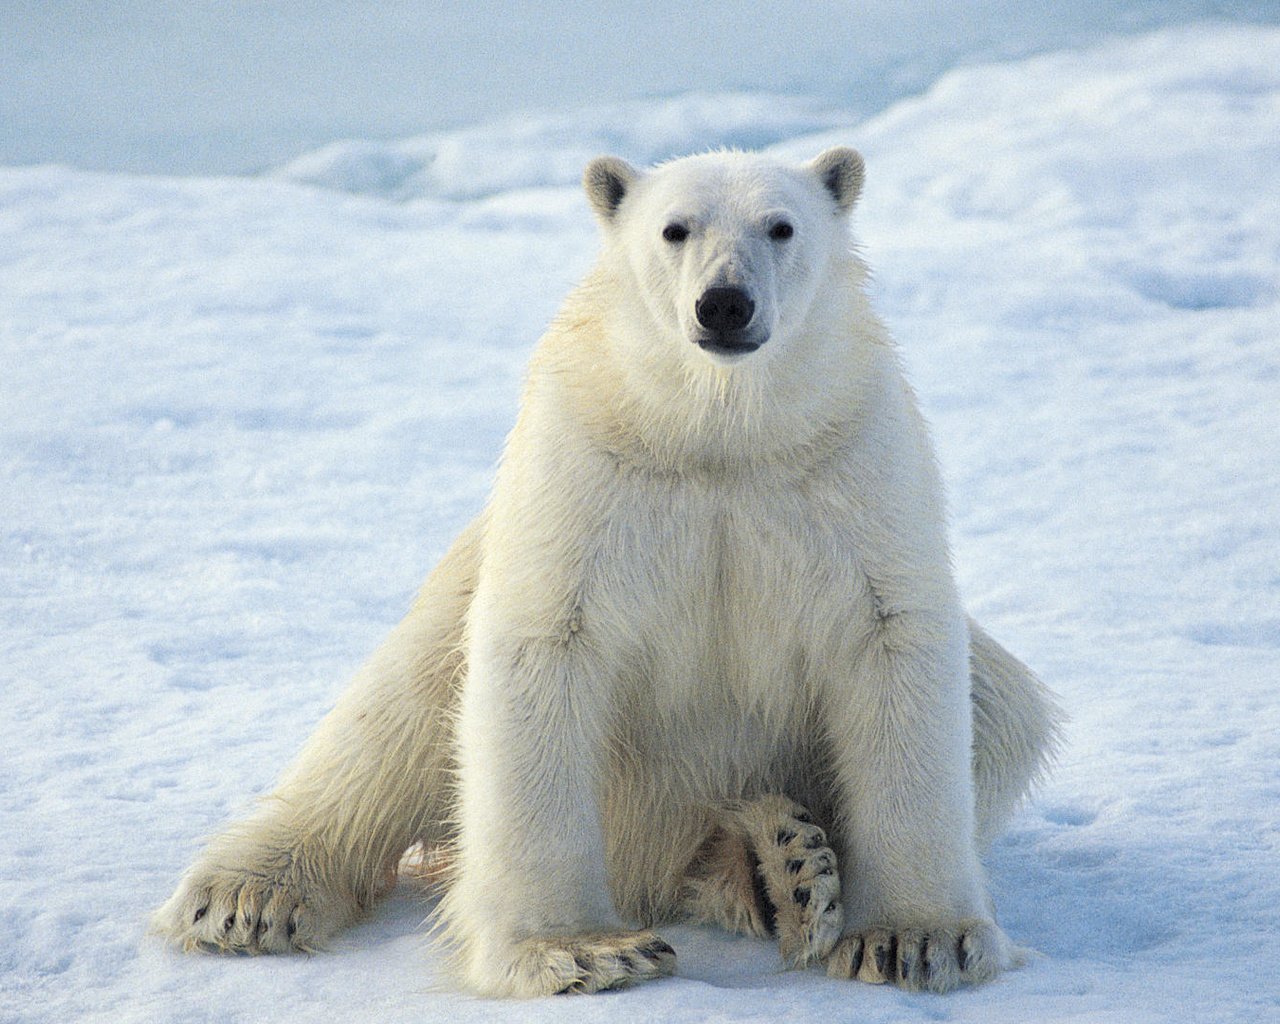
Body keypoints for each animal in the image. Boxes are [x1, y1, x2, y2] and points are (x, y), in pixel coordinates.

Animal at [154, 147, 1064, 998]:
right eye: (674, 229)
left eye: (781, 226)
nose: (724, 303)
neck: (717, 434)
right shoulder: (588, 467)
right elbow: (543, 649)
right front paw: (582, 952)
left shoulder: (850, 464)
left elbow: (892, 642)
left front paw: (916, 939)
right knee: (391, 720)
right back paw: (247, 896)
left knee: (1005, 707)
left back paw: (779, 865)